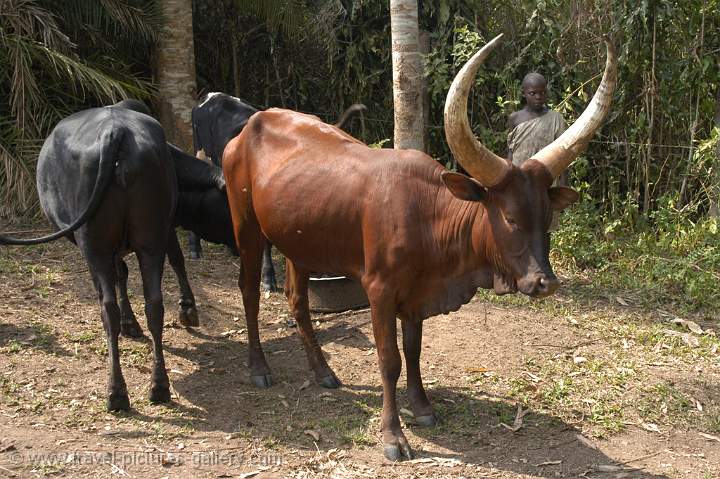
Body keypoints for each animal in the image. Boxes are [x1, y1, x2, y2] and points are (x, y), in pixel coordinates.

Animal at [222, 35, 616, 464]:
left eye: (546, 217)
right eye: (510, 217)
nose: (545, 283)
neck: (428, 217)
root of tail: (249, 127)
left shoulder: (416, 295)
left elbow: (413, 351)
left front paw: (423, 408)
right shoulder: (379, 292)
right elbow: (389, 359)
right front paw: (393, 435)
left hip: (300, 243)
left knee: (297, 300)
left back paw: (323, 372)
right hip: (246, 227)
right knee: (249, 292)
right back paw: (259, 368)